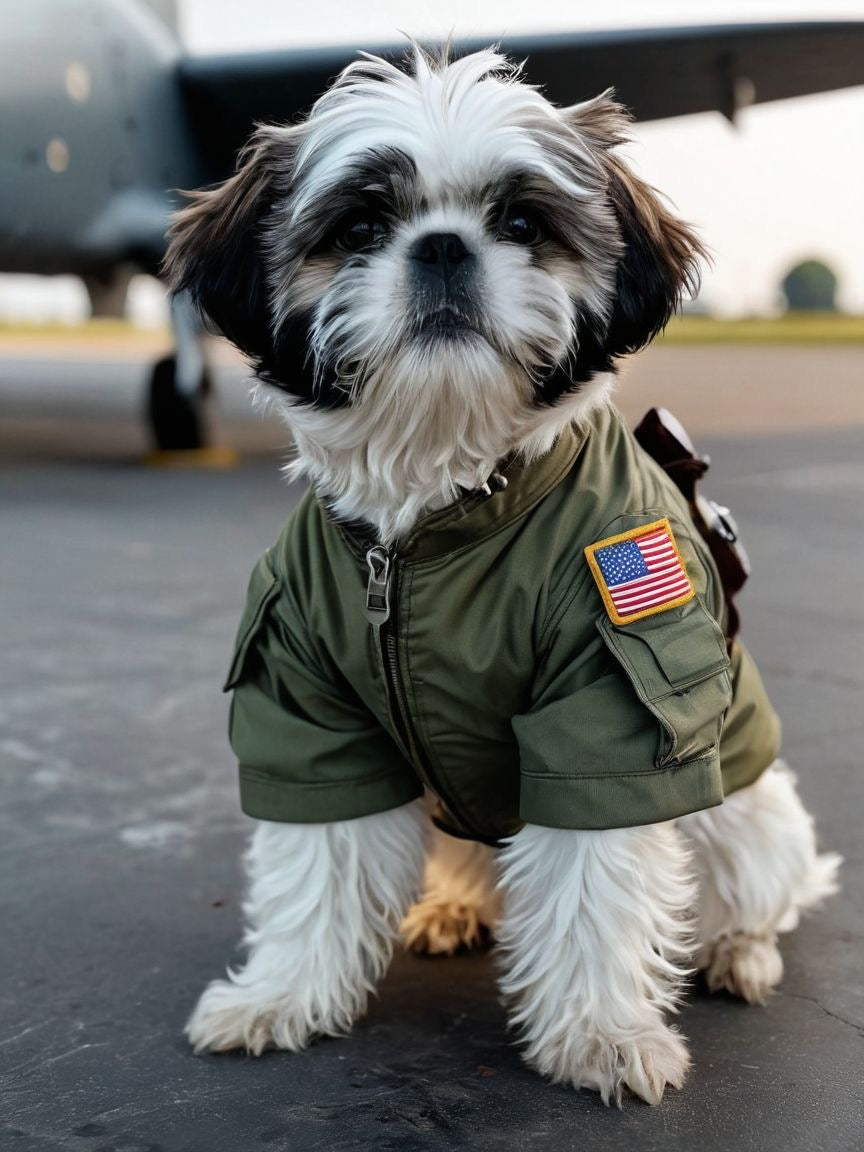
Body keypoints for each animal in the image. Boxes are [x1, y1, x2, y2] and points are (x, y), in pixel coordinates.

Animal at [165, 47, 843, 1105]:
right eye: (359, 229)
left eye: (523, 224)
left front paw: (601, 1033)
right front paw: (283, 996)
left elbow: (594, 883)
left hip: (749, 818)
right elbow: (317, 862)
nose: (443, 248)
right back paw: (454, 907)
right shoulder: (306, 703)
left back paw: (739, 951)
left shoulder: (609, 698)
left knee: (755, 893)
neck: (434, 525)